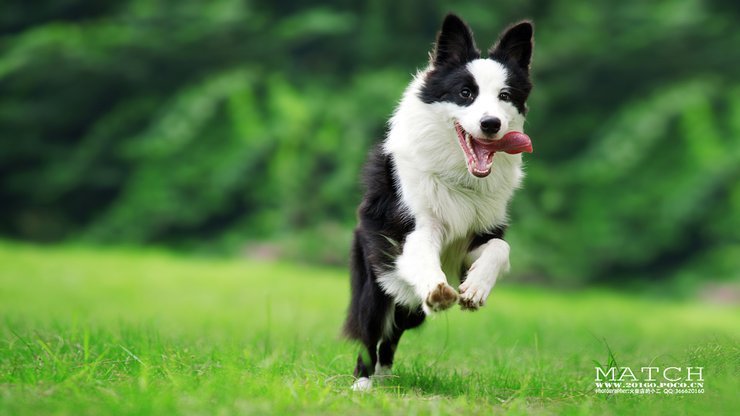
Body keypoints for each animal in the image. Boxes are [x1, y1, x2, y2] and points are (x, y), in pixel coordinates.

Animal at [344, 13, 536, 390]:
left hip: (409, 311)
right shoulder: (412, 227)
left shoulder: (477, 238)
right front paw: (437, 289)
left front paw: (475, 288)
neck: (460, 178)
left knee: (393, 335)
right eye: (466, 93)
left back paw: (385, 376)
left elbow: (499, 248)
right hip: (376, 282)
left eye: (505, 95)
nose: (490, 124)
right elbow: (422, 252)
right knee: (370, 331)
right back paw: (364, 382)